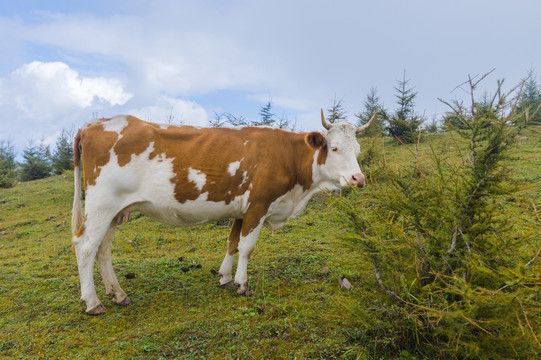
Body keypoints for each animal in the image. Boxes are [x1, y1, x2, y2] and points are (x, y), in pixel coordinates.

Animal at [70, 108, 372, 314]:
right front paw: (242, 284)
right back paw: (93, 302)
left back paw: (118, 294)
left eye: (357, 150)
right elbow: (247, 247)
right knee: (85, 247)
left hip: (115, 211)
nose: (358, 178)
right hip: (101, 204)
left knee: (103, 250)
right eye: (334, 148)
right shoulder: (258, 204)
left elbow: (232, 242)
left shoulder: (241, 209)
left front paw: (225, 277)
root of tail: (93, 124)